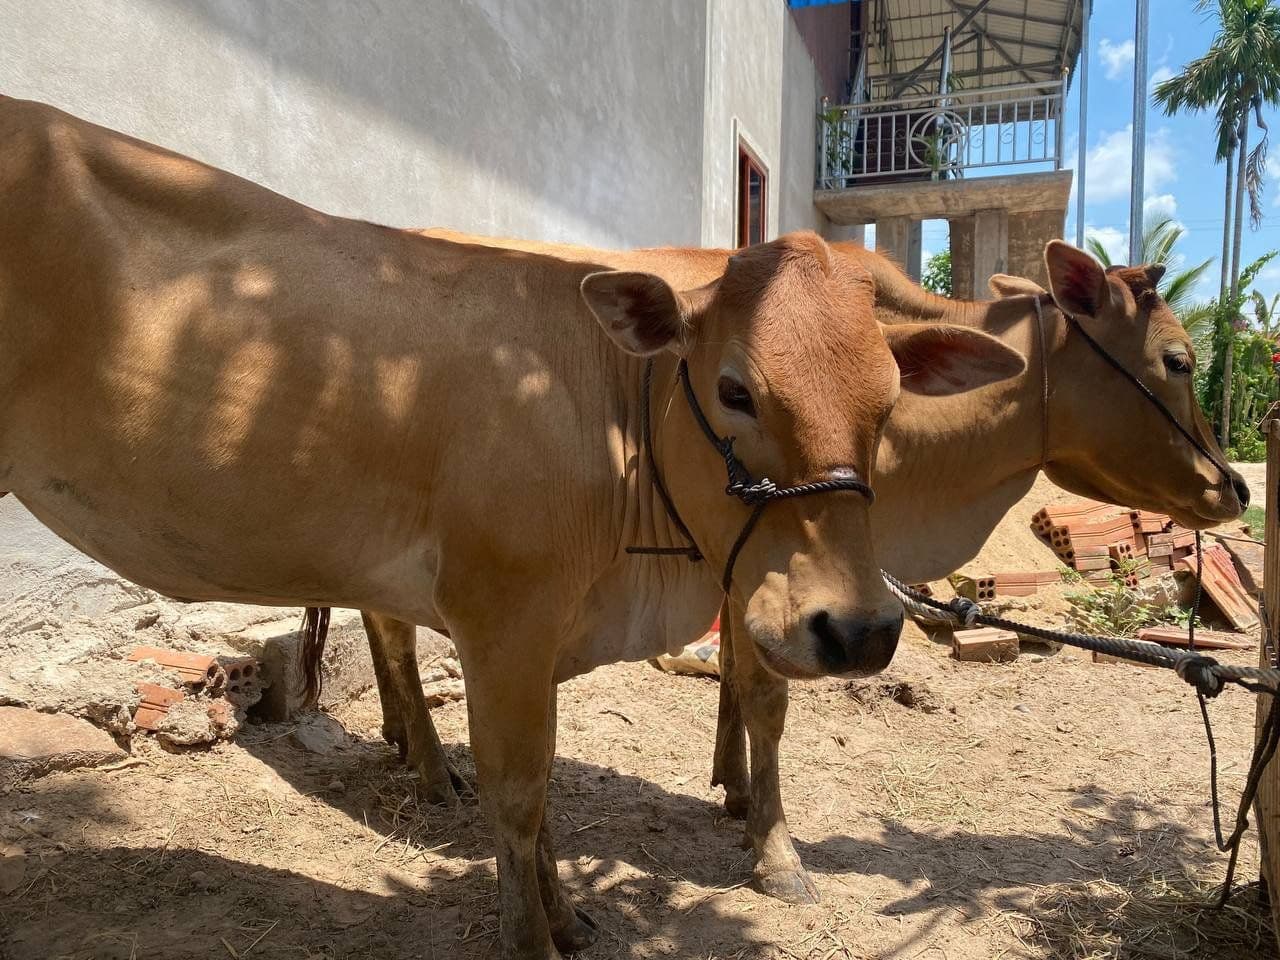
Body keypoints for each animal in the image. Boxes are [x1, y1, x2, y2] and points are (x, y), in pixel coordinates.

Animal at [0, 97, 1026, 959]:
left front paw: (568, 917)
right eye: (736, 389)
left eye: (887, 403)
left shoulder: (545, 637)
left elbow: (548, 792)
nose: (859, 630)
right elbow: (521, 793)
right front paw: (532, 936)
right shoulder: (503, 619)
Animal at [332, 232, 1246, 908]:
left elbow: (744, 684)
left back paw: (403, 738)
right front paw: (773, 847)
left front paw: (734, 789)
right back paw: (428, 763)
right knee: (393, 631)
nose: (1233, 487)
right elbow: (765, 696)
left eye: (888, 401)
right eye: (1178, 359)